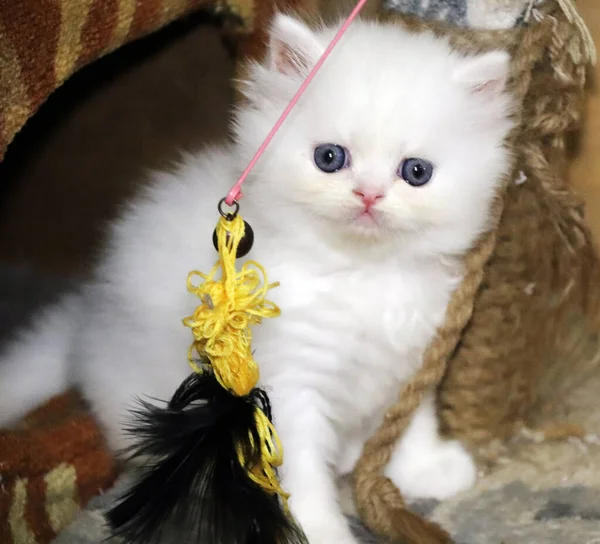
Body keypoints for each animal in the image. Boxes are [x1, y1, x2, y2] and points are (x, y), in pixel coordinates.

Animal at [0, 13, 510, 544]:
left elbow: (410, 421)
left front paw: (425, 468)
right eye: (330, 158)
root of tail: (86, 318)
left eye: (416, 172)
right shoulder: (289, 383)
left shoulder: (416, 356)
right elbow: (301, 469)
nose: (369, 195)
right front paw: (319, 530)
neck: (362, 273)